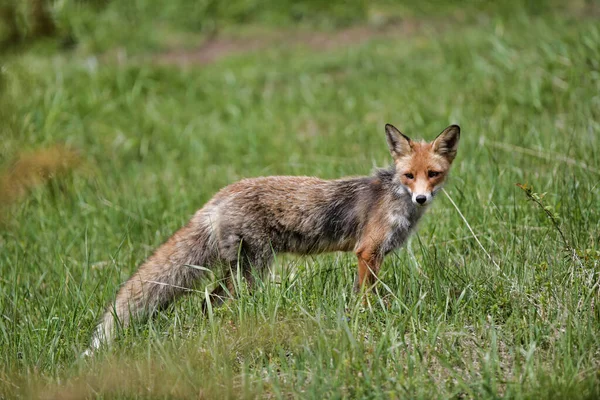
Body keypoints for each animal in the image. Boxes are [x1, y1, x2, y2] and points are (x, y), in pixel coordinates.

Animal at [83, 123, 460, 354]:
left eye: (433, 174)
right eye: (409, 175)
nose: (421, 198)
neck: (394, 196)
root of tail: (219, 196)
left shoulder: (368, 256)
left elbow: (360, 296)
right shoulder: (367, 252)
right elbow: (369, 297)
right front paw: (370, 320)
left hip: (241, 271)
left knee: (207, 302)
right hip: (254, 270)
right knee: (214, 299)